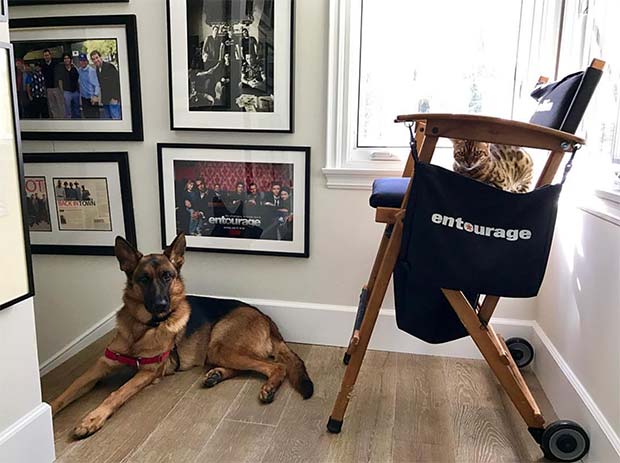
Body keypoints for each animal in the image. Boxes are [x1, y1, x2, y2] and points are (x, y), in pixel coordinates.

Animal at [49, 234, 312, 440]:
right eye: (143, 279)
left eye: (168, 276)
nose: (161, 305)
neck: (142, 328)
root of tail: (266, 318)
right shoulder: (100, 366)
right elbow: (67, 391)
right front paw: (49, 410)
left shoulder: (147, 372)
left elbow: (117, 393)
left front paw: (92, 418)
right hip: (217, 351)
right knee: (249, 366)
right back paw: (215, 375)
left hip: (220, 345)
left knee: (275, 366)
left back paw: (269, 387)